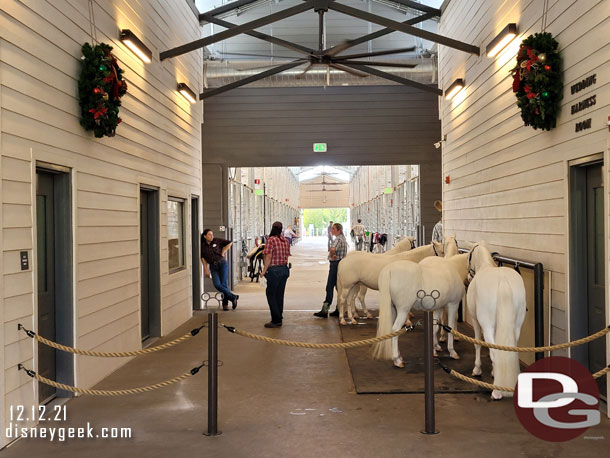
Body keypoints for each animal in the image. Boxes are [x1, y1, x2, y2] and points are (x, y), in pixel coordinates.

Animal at [464, 242, 524, 398]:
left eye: (468, 257)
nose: (468, 277)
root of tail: (502, 280)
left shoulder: (476, 320)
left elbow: (478, 344)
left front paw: (477, 370)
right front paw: (493, 371)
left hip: (487, 326)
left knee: (495, 353)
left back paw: (497, 391)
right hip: (516, 326)